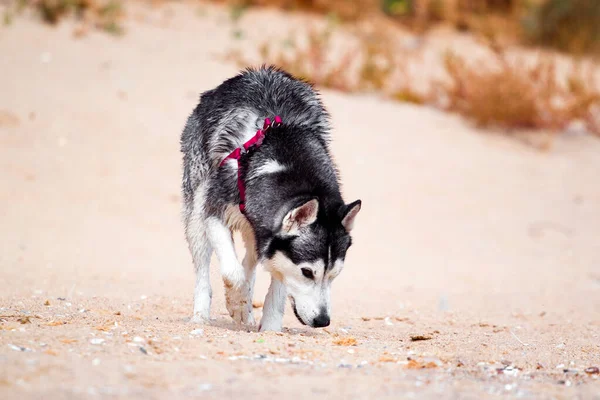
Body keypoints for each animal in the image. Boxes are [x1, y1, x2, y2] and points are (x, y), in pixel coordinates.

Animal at [180, 65, 360, 332]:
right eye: (307, 273)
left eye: (334, 274)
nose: (322, 321)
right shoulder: (214, 212)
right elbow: (232, 272)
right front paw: (236, 302)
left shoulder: (274, 244)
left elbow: (276, 285)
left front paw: (270, 327)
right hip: (196, 209)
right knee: (204, 268)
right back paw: (201, 314)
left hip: (254, 229)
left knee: (251, 260)